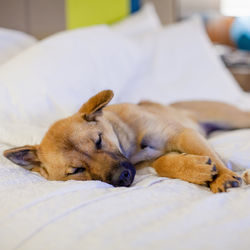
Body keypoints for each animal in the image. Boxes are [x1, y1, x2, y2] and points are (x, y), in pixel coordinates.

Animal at [3, 90, 250, 193]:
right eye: (76, 171)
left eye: (98, 141)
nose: (122, 177)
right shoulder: (144, 162)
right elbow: (163, 163)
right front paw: (196, 169)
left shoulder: (182, 134)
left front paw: (223, 176)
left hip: (234, 118)